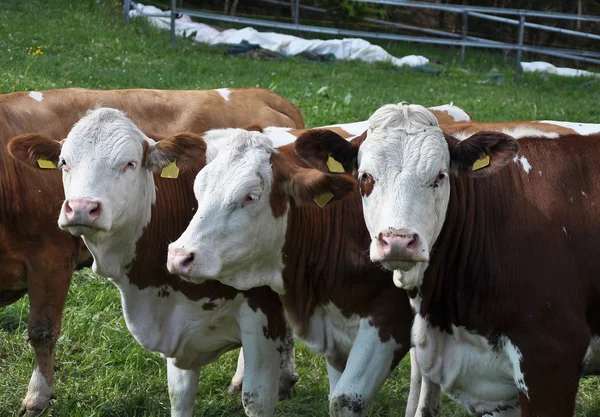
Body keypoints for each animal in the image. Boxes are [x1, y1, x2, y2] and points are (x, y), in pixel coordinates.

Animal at [1, 86, 304, 414]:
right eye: (64, 163)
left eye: (129, 163)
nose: (81, 208)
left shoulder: (50, 259)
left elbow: (42, 331)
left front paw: (37, 397)